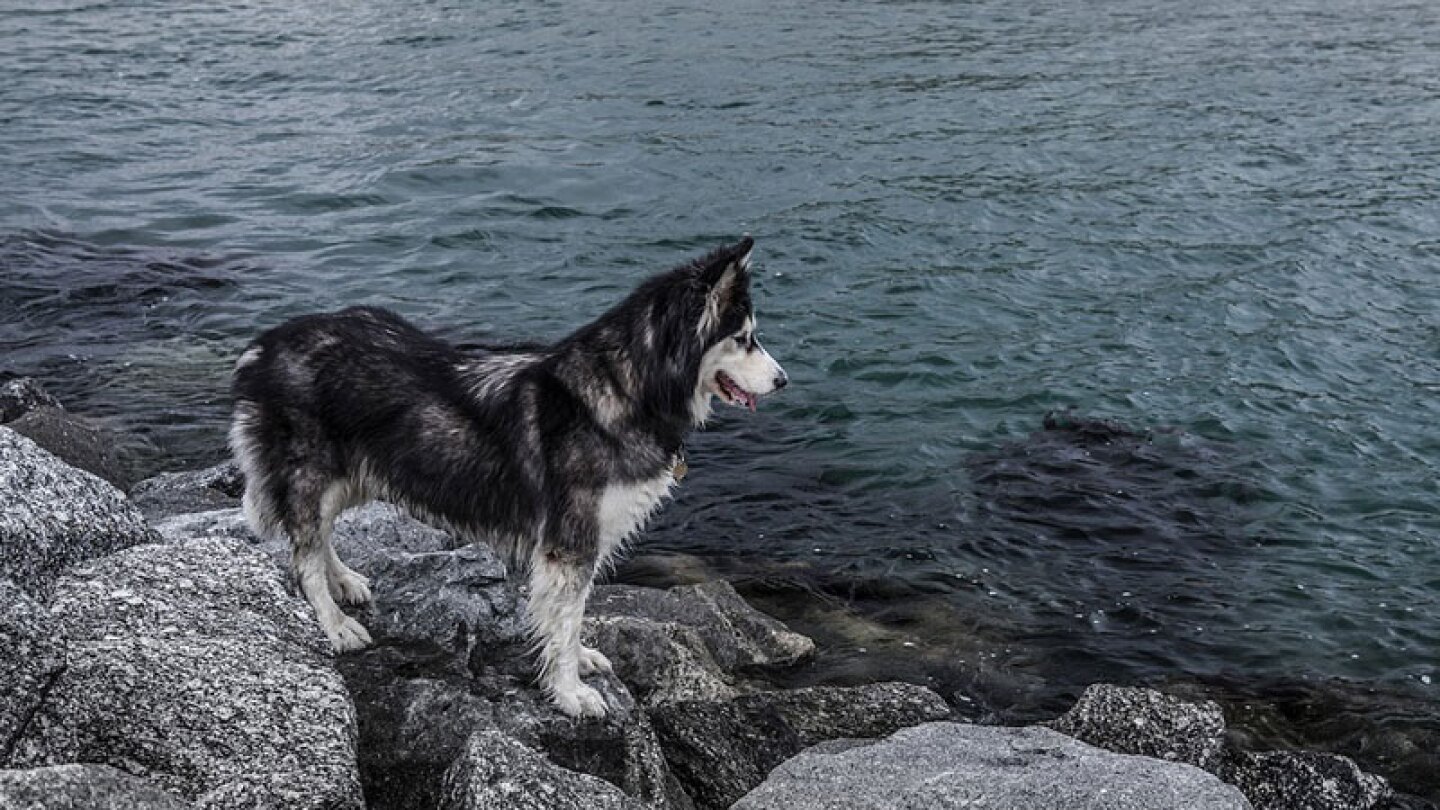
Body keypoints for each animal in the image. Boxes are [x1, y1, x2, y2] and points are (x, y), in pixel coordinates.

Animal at [228, 237, 783, 711]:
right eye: (744, 339)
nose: (783, 380)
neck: (629, 389)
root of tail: (264, 345)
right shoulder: (570, 543)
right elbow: (566, 620)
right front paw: (570, 693)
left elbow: (568, 619)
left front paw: (577, 662)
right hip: (313, 474)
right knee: (303, 554)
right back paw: (334, 621)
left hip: (354, 475)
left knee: (318, 536)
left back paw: (343, 579)